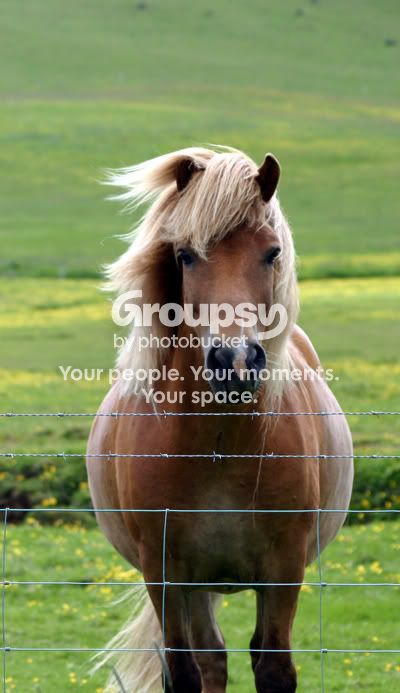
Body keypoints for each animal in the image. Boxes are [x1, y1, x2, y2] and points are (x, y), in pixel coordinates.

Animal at [87, 146, 353, 693]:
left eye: (272, 252)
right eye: (186, 255)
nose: (235, 360)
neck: (219, 443)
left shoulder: (283, 567)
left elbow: (273, 668)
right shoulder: (164, 569)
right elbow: (185, 671)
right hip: (192, 587)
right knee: (210, 659)